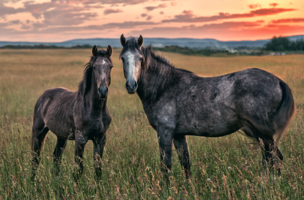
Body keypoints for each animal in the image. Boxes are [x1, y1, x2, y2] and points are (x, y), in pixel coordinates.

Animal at [31, 45, 113, 181]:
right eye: (94, 67)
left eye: (110, 66)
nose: (102, 91)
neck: (93, 109)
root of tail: (42, 97)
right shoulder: (80, 139)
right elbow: (78, 169)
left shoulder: (100, 139)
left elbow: (98, 169)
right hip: (38, 132)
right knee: (35, 158)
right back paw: (32, 181)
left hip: (61, 136)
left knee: (56, 157)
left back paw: (56, 182)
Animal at [119, 34, 294, 184]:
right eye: (122, 58)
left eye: (140, 58)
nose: (131, 85)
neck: (164, 86)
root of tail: (278, 81)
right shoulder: (179, 134)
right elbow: (185, 164)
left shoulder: (165, 132)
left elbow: (166, 165)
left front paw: (166, 190)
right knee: (271, 158)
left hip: (263, 135)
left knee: (273, 158)